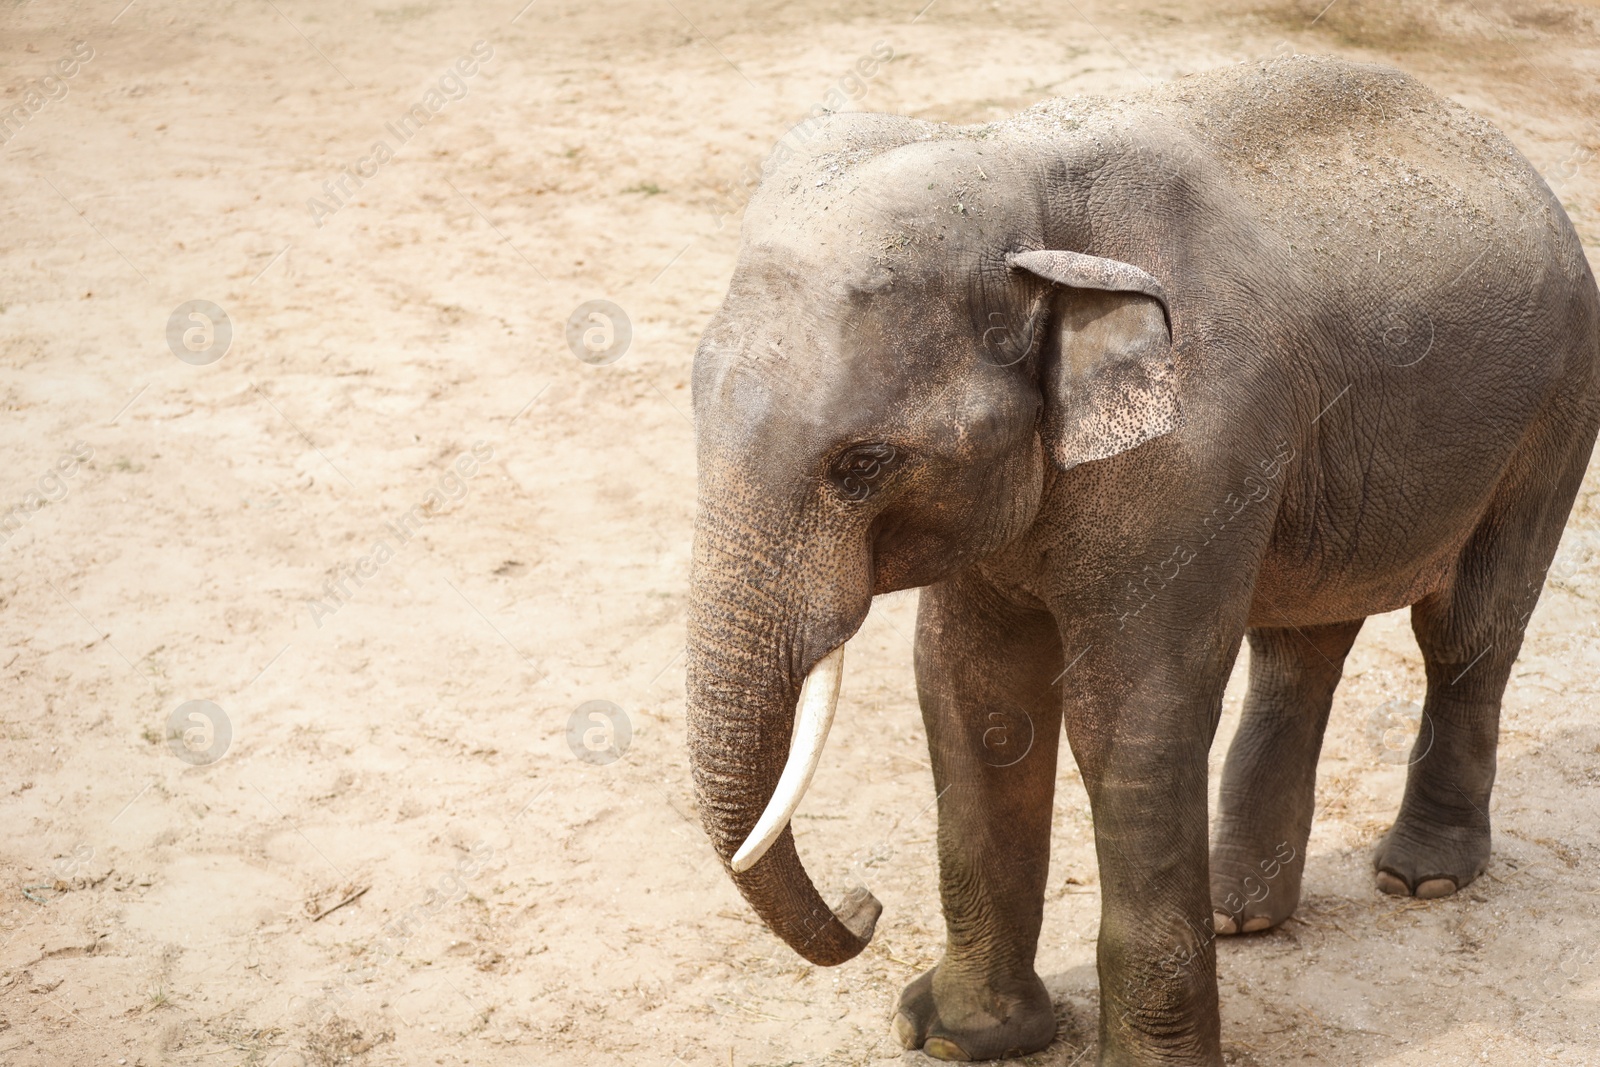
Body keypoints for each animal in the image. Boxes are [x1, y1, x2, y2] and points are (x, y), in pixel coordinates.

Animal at [681, 56, 1593, 1067]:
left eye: (863, 465)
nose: (866, 905)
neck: (1022, 179)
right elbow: (970, 690)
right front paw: (953, 1035)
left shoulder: (1196, 450)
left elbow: (1130, 715)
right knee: (1301, 644)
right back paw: (1240, 913)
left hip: (1555, 408)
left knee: (1469, 626)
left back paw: (1421, 880)